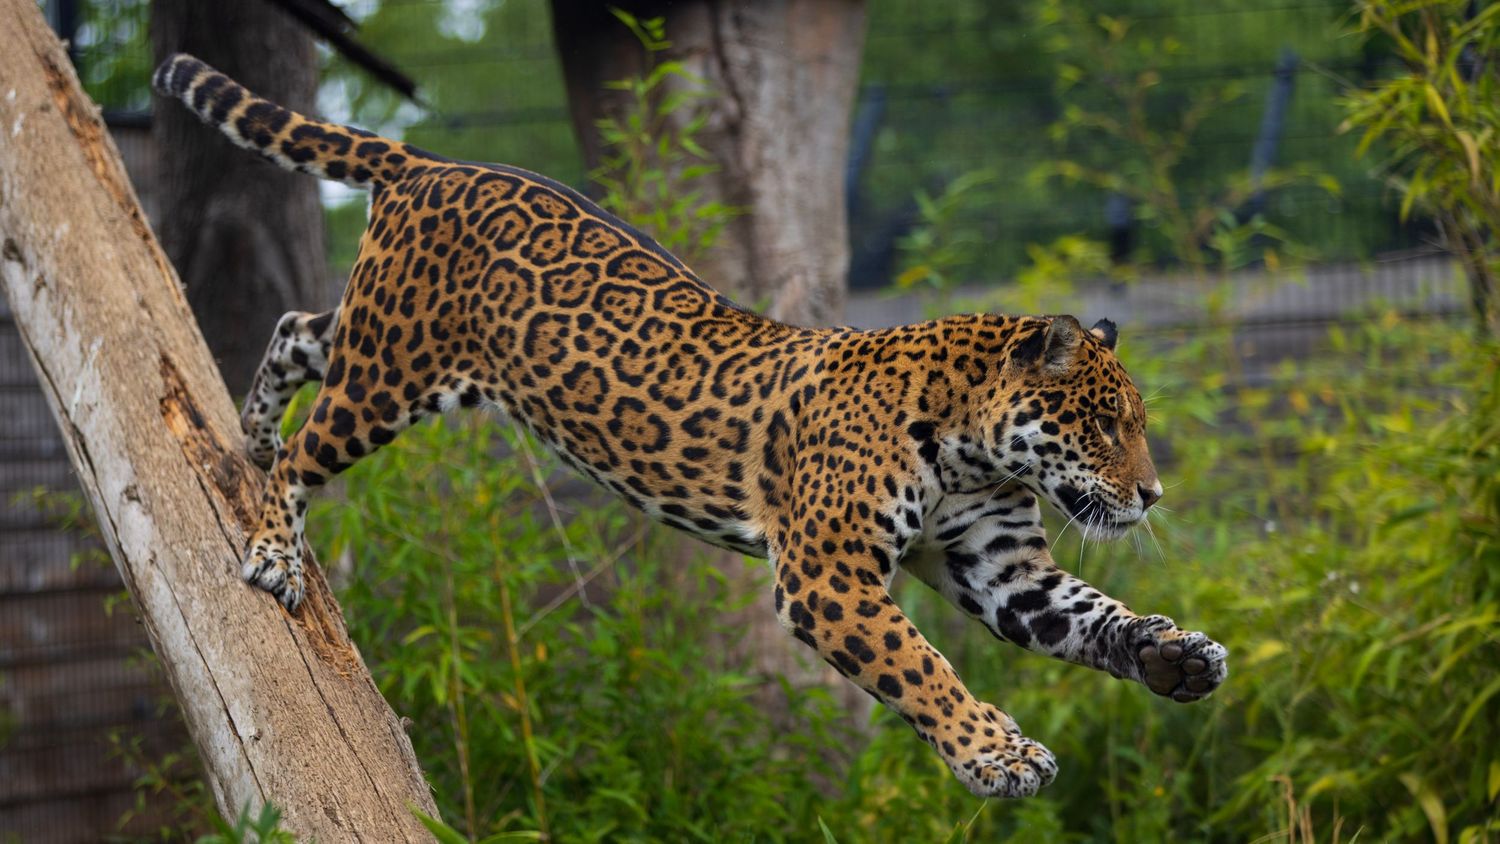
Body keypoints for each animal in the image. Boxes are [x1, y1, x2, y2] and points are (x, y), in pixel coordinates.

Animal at [153, 53, 1228, 799]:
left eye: (1132, 425)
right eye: (1103, 424)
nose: (1152, 495)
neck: (974, 451)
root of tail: (432, 162)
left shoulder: (1004, 571)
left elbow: (1093, 615)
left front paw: (1176, 657)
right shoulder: (828, 577)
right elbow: (921, 667)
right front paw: (997, 755)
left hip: (387, 349)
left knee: (296, 331)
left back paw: (248, 429)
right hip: (389, 377)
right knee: (304, 454)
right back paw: (270, 546)